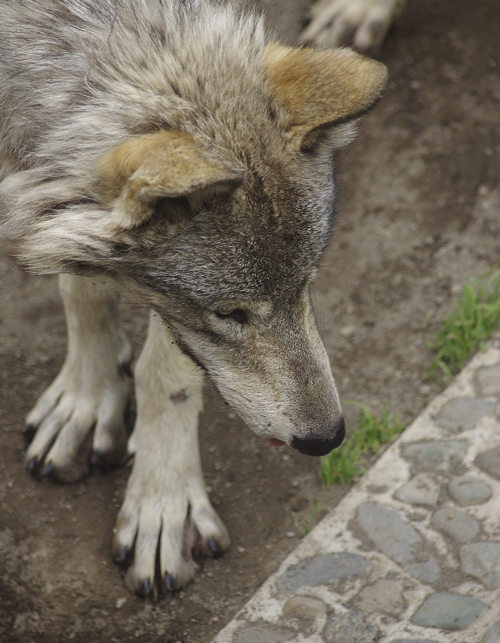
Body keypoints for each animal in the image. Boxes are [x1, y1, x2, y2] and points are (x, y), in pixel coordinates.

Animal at [0, 0, 386, 592]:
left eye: (306, 283)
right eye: (229, 313)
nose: (327, 439)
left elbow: (166, 374)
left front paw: (163, 505)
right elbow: (79, 280)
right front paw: (87, 399)